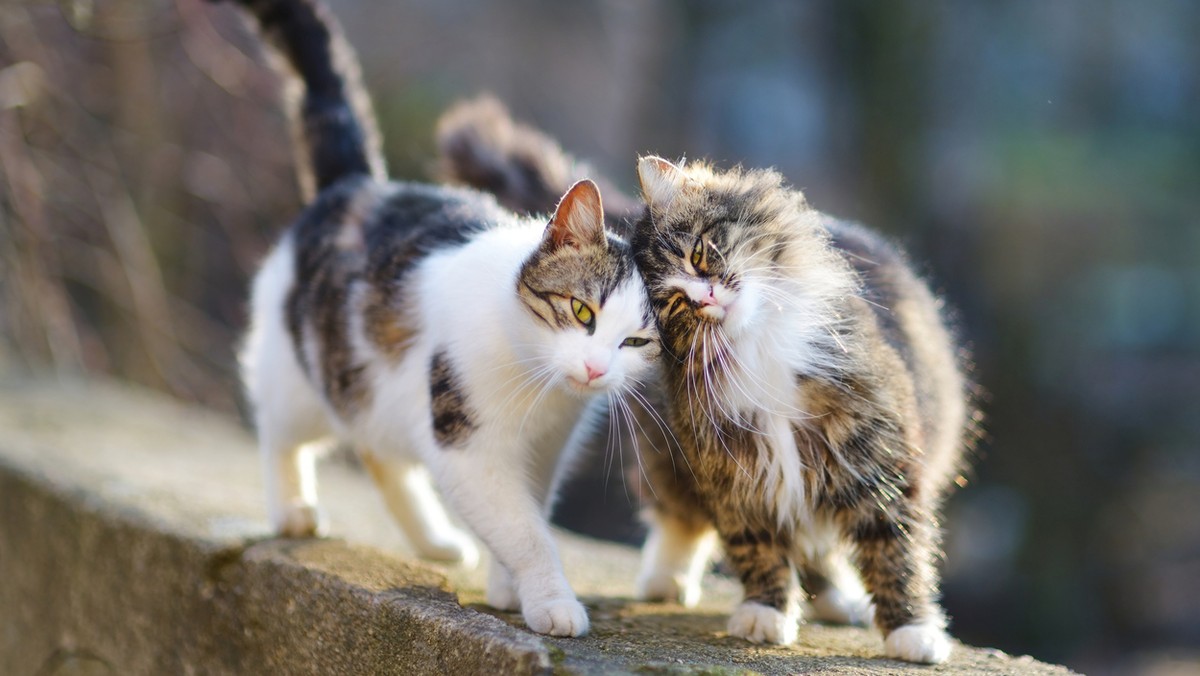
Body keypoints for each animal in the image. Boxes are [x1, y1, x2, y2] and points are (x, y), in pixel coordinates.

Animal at [212, 0, 662, 638]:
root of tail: (359, 184)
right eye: (582, 310)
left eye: (638, 341)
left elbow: (529, 513)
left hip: (379, 393)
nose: (597, 371)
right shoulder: (467, 447)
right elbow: (525, 531)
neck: (538, 388)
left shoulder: (545, 451)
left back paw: (434, 540)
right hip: (300, 373)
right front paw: (551, 601)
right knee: (281, 431)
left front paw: (509, 588)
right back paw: (294, 509)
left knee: (380, 453)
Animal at [441, 97, 974, 662]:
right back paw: (667, 579)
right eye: (674, 303)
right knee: (681, 518)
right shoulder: (731, 466)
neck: (757, 350)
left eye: (699, 254)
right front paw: (766, 612)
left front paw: (912, 630)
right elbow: (757, 546)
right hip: (666, 453)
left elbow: (895, 549)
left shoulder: (871, 452)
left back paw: (838, 600)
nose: (706, 297)